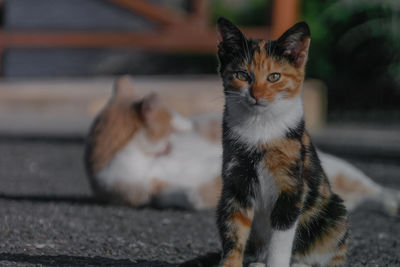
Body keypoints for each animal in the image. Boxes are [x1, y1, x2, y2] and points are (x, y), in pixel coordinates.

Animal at [83, 75, 398, 216]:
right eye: (171, 116)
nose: (187, 122)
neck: (152, 156)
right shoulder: (136, 190)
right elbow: (168, 195)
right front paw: (190, 195)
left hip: (342, 169)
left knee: (375, 189)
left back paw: (392, 200)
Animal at [216, 17, 346, 266]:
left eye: (274, 76)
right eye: (242, 75)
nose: (256, 95)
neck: (260, 127)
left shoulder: (292, 184)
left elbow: (281, 235)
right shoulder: (236, 181)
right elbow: (234, 228)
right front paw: (231, 261)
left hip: (336, 214)